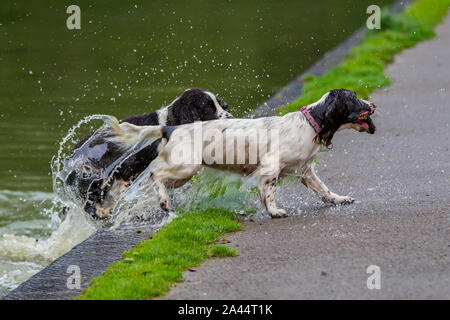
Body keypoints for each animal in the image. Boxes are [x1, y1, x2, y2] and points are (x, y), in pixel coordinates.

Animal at [64, 89, 232, 219]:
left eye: (220, 103)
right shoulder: (127, 168)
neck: (170, 124)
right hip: (96, 179)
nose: (230, 116)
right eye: (208, 107)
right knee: (92, 208)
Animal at [106, 89, 376, 218]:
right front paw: (274, 212)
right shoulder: (270, 168)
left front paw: (340, 199)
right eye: (354, 98)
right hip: (186, 167)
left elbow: (324, 190)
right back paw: (163, 202)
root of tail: (170, 127)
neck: (309, 124)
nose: (373, 104)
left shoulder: (305, 171)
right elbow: (269, 193)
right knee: (155, 175)